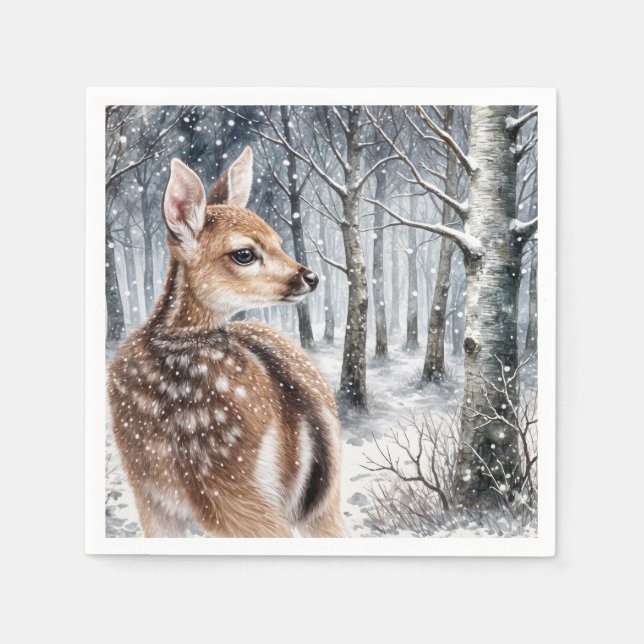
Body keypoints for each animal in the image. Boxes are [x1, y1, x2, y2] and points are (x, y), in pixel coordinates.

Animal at [107, 147, 347, 538]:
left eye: (278, 241)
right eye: (244, 253)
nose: (310, 277)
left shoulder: (148, 492)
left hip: (228, 482)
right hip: (322, 501)